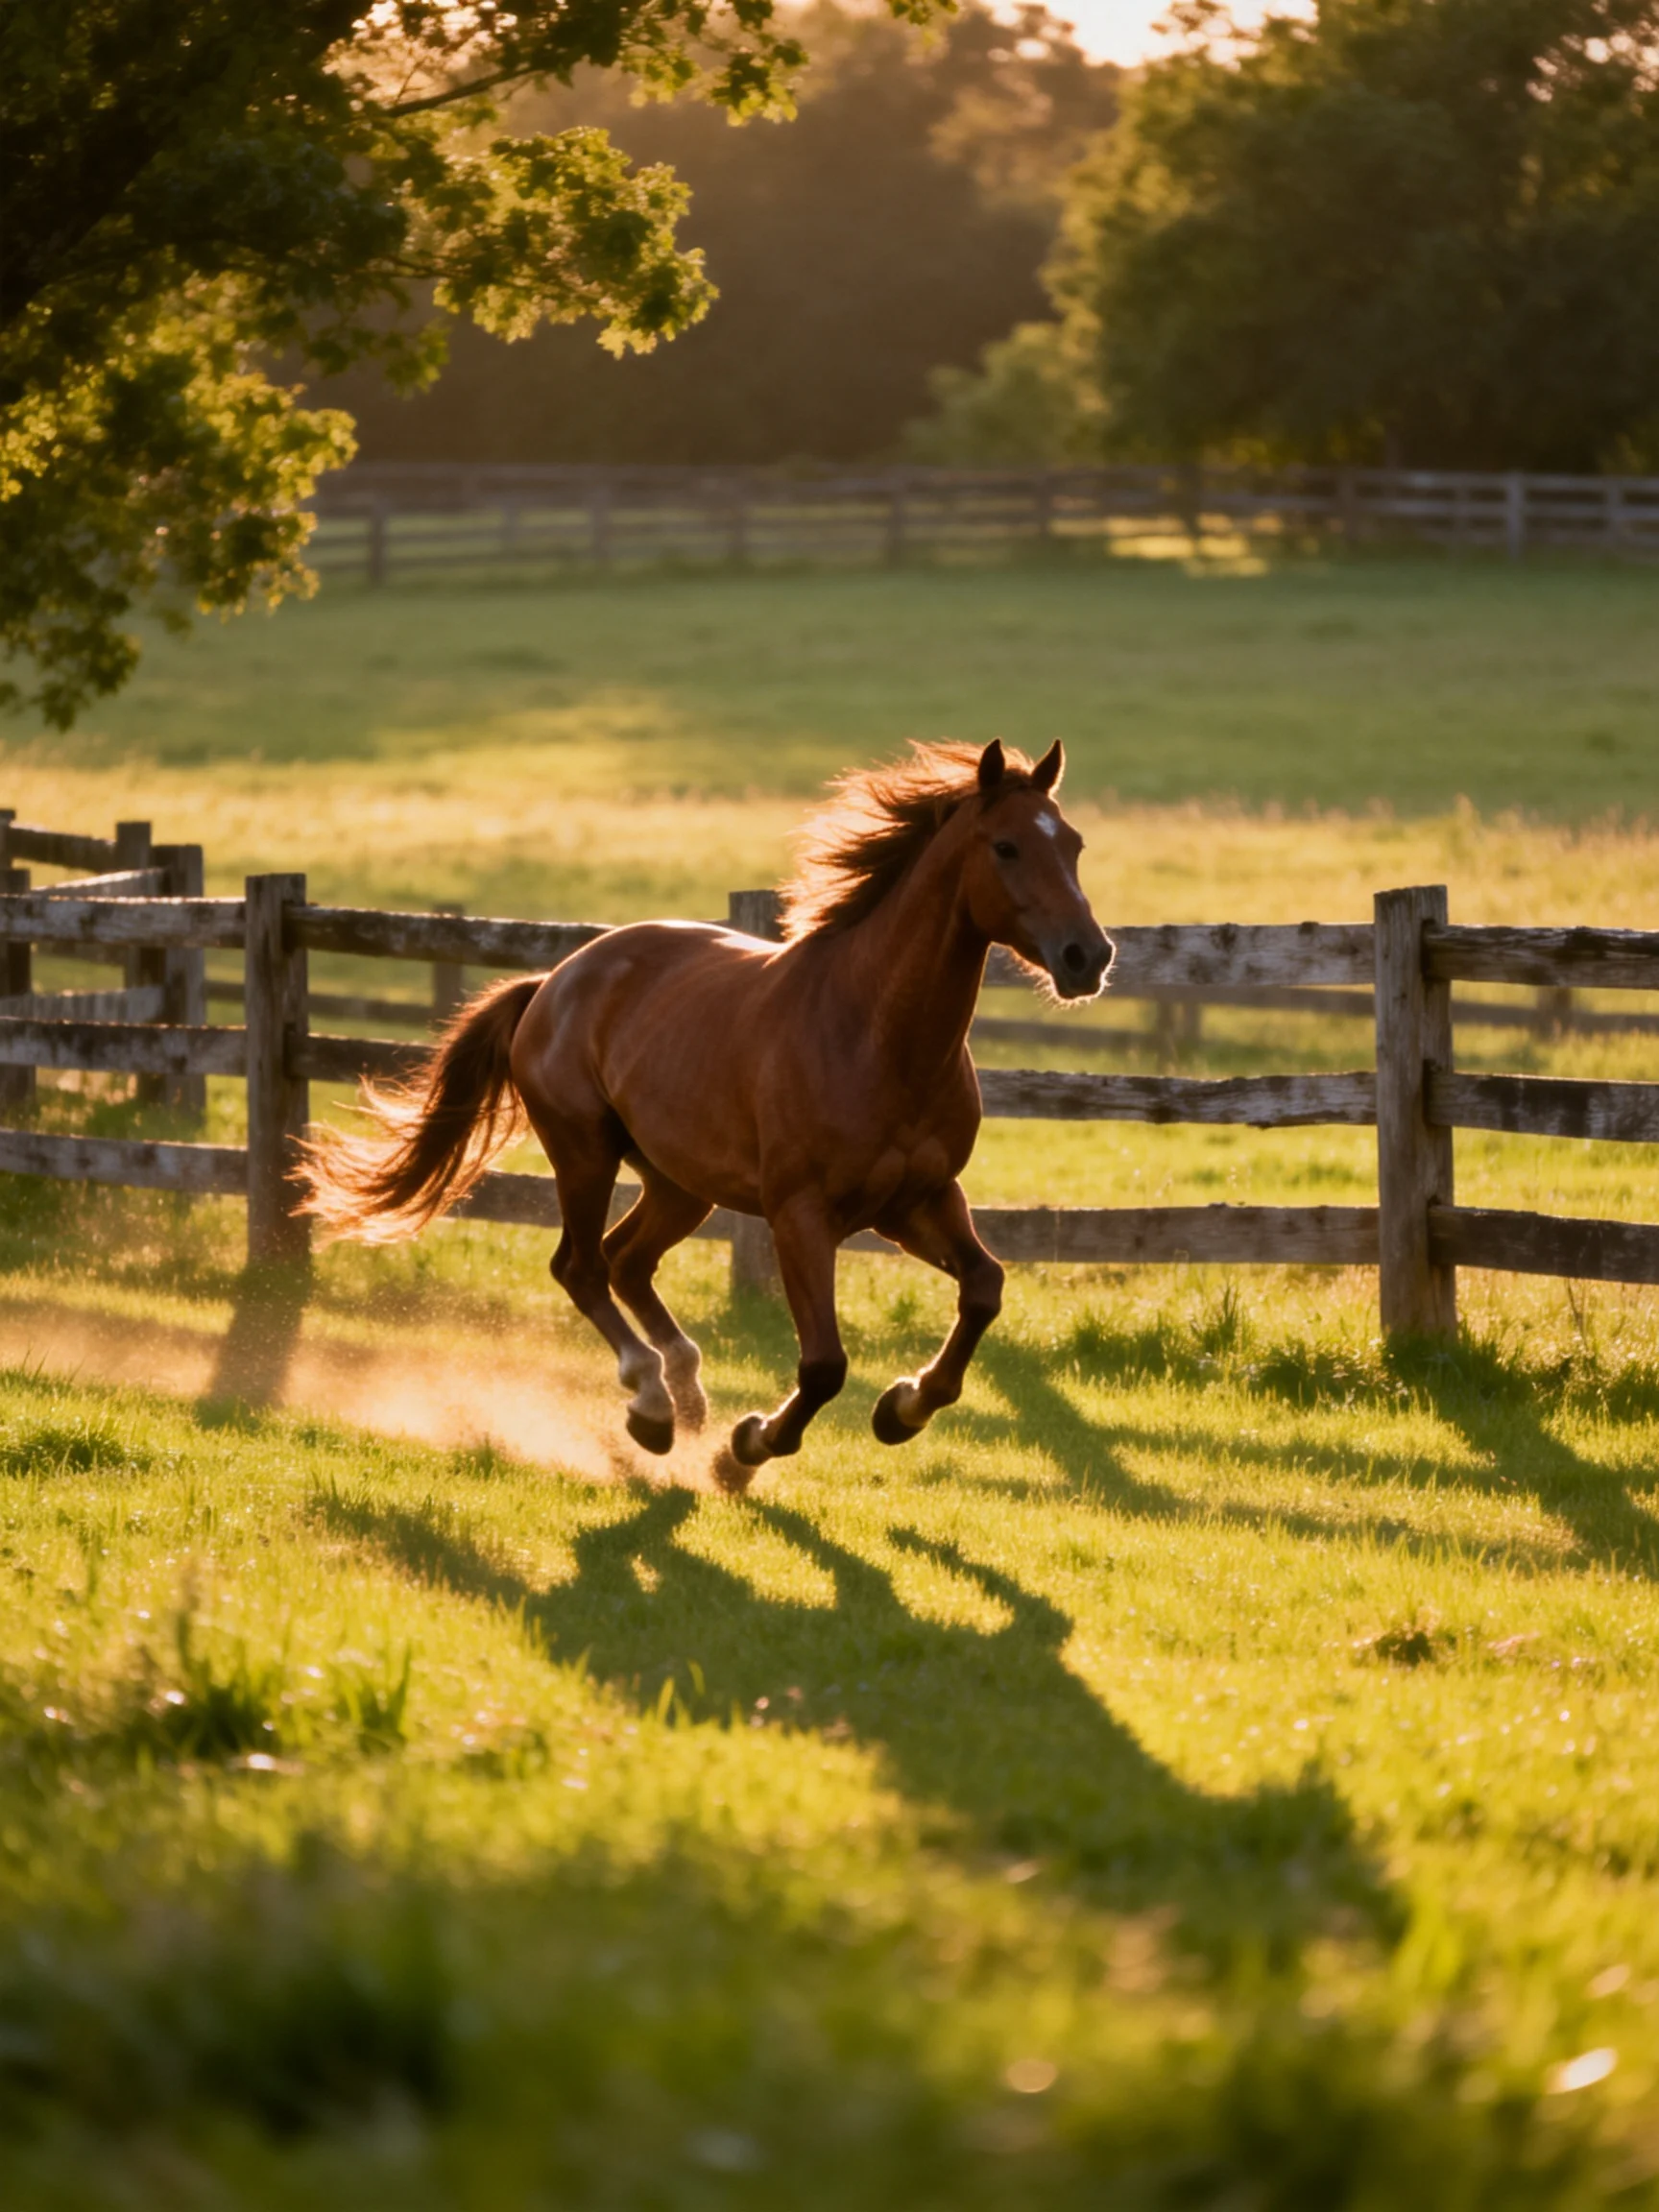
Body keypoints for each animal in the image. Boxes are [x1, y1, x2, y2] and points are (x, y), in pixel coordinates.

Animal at [296, 737, 1113, 1491]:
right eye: (1006, 846)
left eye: (1073, 844)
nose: (1089, 957)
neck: (875, 1035)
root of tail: (554, 981)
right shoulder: (800, 1215)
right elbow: (824, 1364)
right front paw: (745, 1449)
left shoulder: (919, 1201)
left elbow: (984, 1288)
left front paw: (902, 1409)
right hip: (584, 1153)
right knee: (581, 1266)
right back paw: (653, 1407)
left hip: (680, 1182)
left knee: (626, 1261)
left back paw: (684, 1391)